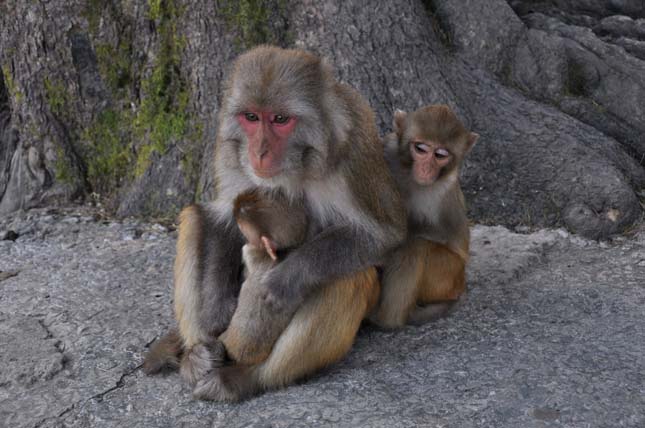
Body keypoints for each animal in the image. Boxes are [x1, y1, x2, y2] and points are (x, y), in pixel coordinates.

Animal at [144, 45, 406, 400]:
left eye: (280, 119)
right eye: (252, 117)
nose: (259, 152)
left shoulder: (353, 153)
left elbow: (383, 236)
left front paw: (281, 283)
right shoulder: (227, 149)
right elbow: (220, 220)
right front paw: (216, 312)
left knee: (348, 277)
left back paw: (247, 378)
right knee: (193, 217)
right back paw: (196, 356)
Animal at [368, 103, 478, 328]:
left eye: (440, 155)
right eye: (421, 149)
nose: (426, 169)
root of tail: (461, 283)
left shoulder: (443, 191)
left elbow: (438, 233)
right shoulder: (388, 149)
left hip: (447, 275)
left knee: (416, 247)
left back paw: (387, 319)